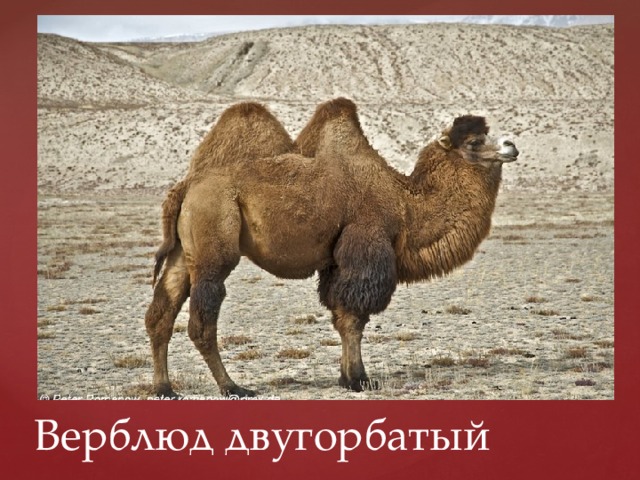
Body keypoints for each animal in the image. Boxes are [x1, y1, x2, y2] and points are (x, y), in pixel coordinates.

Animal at [144, 98, 519, 398]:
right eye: (474, 141)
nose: (512, 145)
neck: (404, 203)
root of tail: (185, 188)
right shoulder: (365, 246)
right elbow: (354, 317)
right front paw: (358, 380)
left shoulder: (336, 262)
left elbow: (341, 317)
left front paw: (346, 376)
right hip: (213, 246)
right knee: (202, 320)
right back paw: (232, 387)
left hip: (183, 252)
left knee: (161, 312)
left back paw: (164, 388)